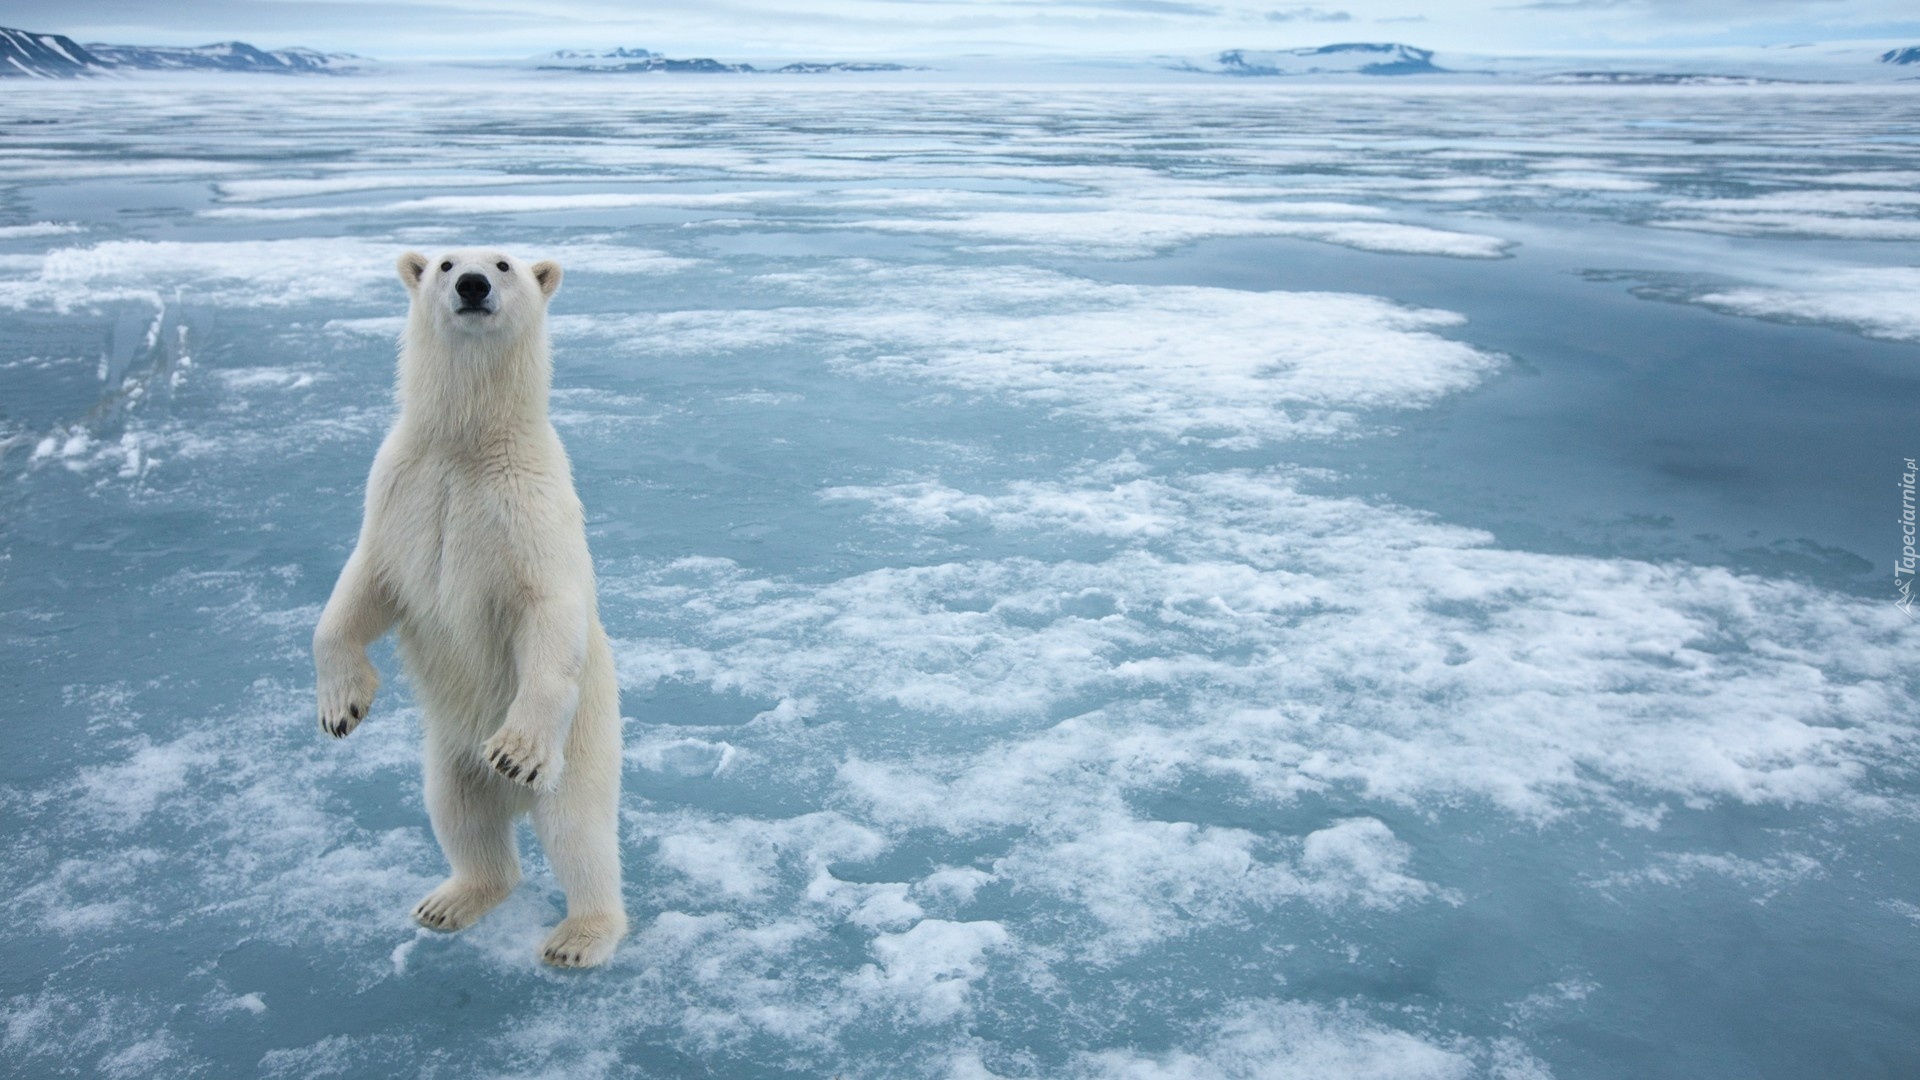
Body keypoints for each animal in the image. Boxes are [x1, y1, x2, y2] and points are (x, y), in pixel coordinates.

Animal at [307, 245, 622, 968]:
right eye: (446, 262)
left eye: (504, 264)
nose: (473, 285)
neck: (466, 445)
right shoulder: (401, 491)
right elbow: (361, 590)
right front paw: (342, 707)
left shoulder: (528, 508)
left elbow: (548, 610)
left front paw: (515, 750)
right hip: (449, 754)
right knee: (460, 816)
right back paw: (449, 901)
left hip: (584, 744)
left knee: (578, 832)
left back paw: (579, 936)